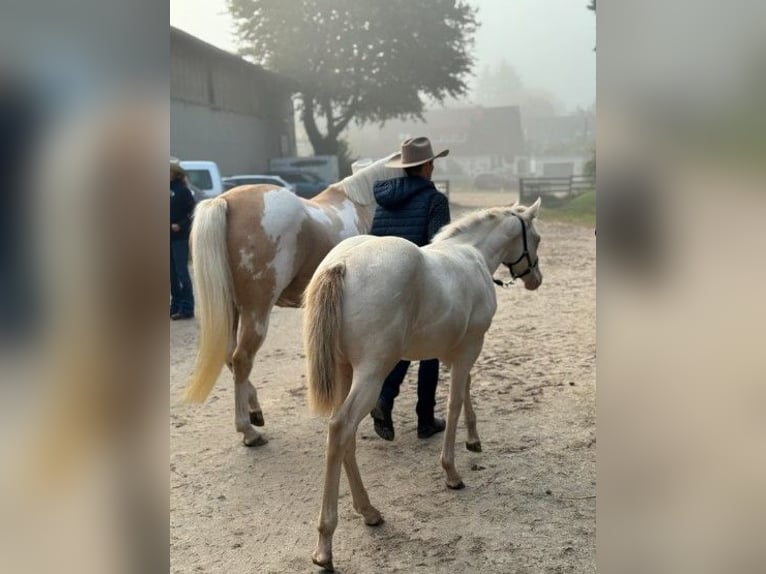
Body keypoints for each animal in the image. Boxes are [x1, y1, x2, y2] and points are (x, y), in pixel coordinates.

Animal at [182, 155, 404, 446]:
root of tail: (226, 201)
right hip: (256, 311)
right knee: (241, 359)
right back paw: (248, 431)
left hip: (231, 309)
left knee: (229, 356)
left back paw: (255, 412)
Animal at [303, 199, 543, 571]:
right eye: (537, 238)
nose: (536, 280)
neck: (471, 254)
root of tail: (341, 263)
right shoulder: (471, 345)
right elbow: (455, 402)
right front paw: (452, 472)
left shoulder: (459, 350)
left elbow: (466, 389)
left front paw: (473, 440)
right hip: (372, 372)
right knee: (341, 427)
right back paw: (326, 545)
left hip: (345, 371)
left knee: (344, 437)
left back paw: (369, 511)